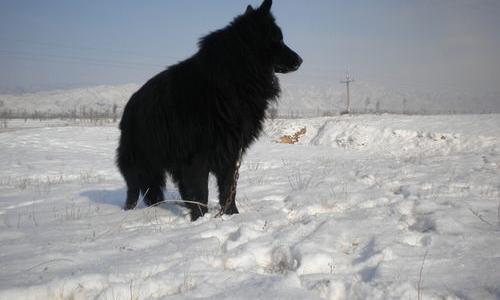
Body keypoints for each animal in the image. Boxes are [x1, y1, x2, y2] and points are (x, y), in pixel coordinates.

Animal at [117, 0, 302, 220]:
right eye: (278, 39)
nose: (300, 60)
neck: (232, 81)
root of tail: (130, 104)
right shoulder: (197, 157)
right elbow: (200, 192)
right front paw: (200, 219)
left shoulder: (231, 152)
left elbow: (228, 188)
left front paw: (231, 215)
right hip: (138, 161)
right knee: (135, 188)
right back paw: (129, 210)